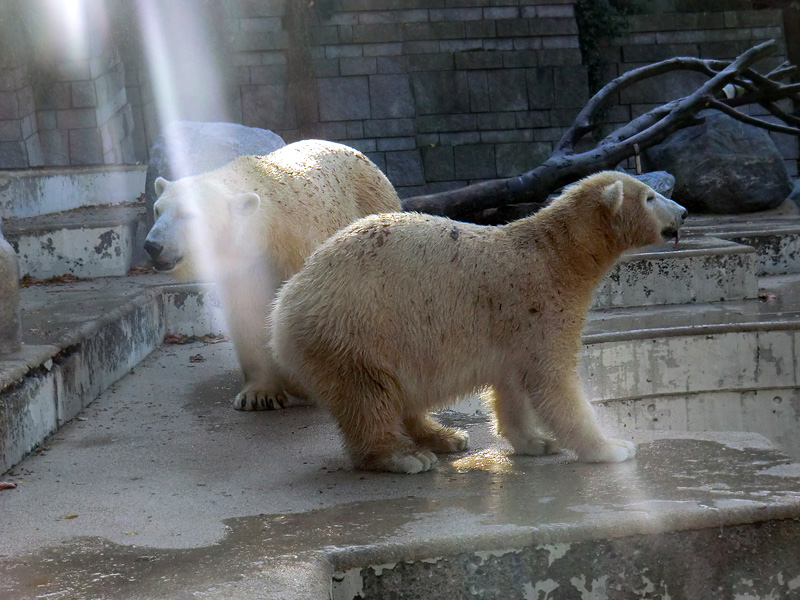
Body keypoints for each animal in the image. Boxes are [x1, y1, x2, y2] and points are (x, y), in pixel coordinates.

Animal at [142, 141, 400, 412]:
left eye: (189, 214)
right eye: (157, 209)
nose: (152, 246)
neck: (270, 225)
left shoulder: (300, 249)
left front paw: (302, 382)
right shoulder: (245, 267)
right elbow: (249, 316)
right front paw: (259, 395)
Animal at [274, 172, 688, 474]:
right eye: (650, 197)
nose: (683, 211)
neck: (557, 256)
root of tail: (283, 307)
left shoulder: (512, 327)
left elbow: (512, 384)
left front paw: (535, 441)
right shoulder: (540, 305)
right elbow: (554, 383)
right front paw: (612, 447)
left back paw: (445, 436)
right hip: (356, 329)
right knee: (369, 395)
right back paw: (404, 456)